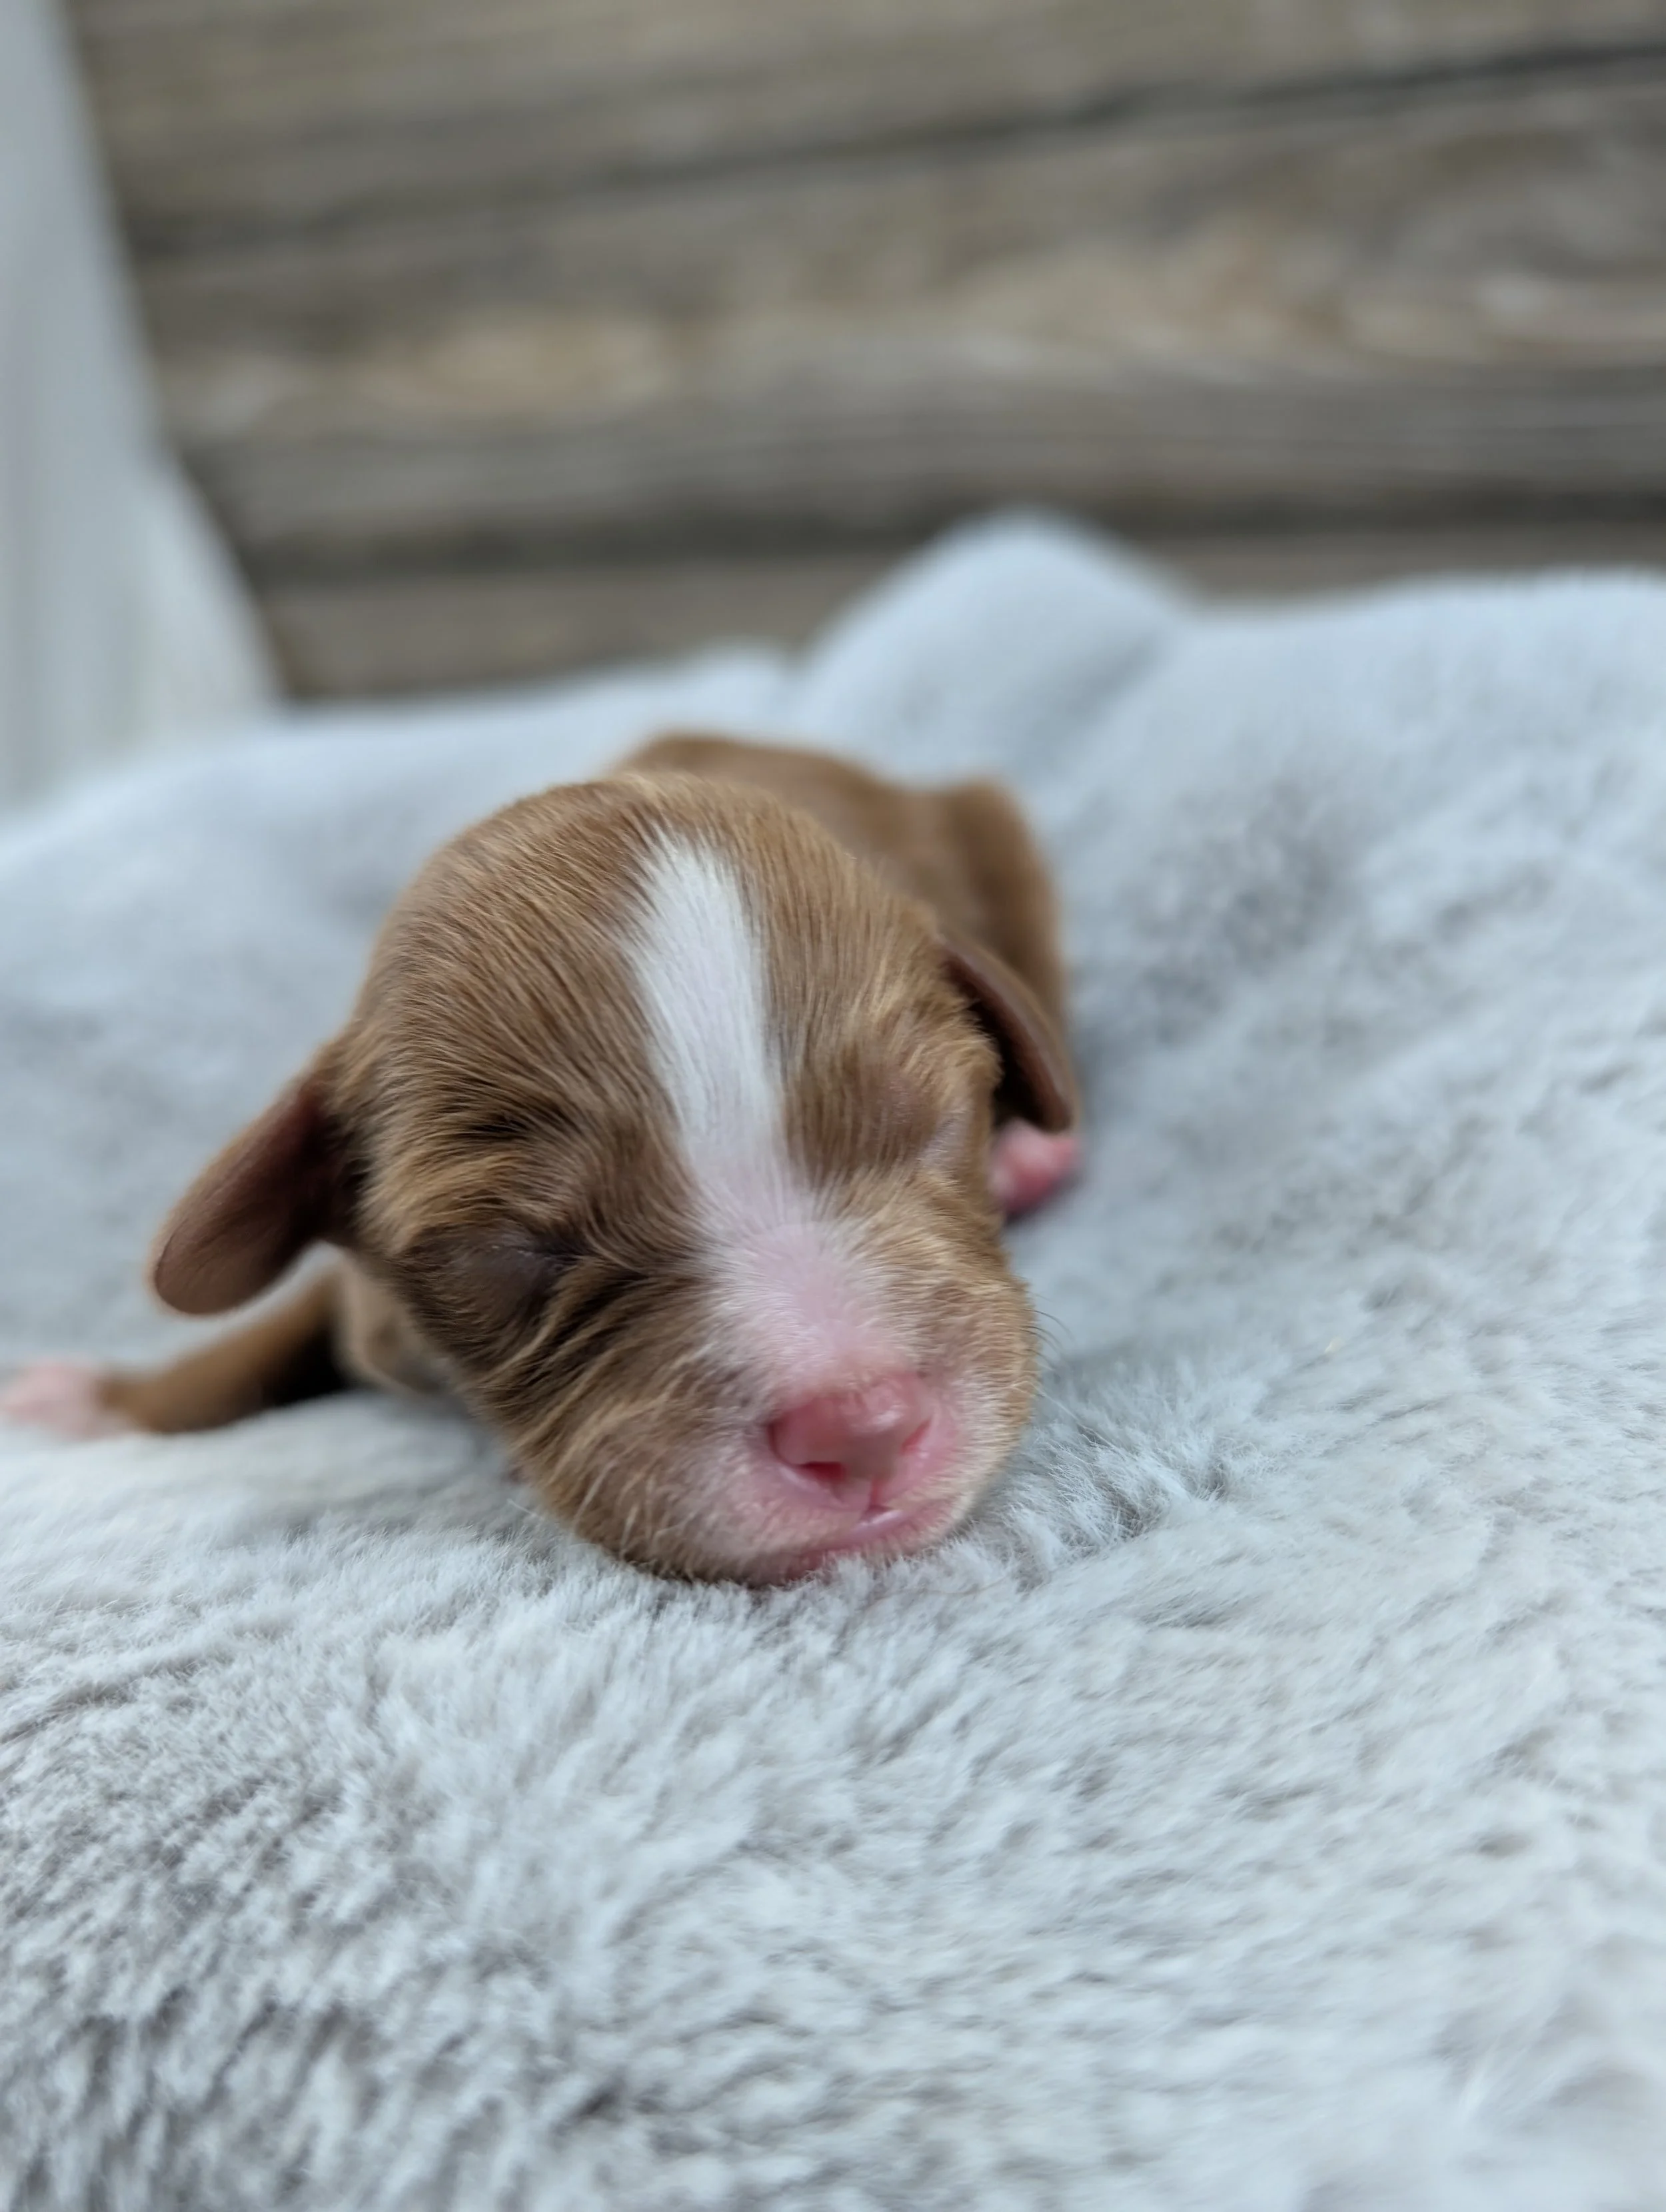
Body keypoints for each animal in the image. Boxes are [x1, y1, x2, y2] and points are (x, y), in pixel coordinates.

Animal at [2, 733, 1080, 1582]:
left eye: (937, 1124)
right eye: (513, 1249)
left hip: (995, 830)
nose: (861, 1429)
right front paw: (98, 1404)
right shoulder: (365, 1298)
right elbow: (264, 1338)